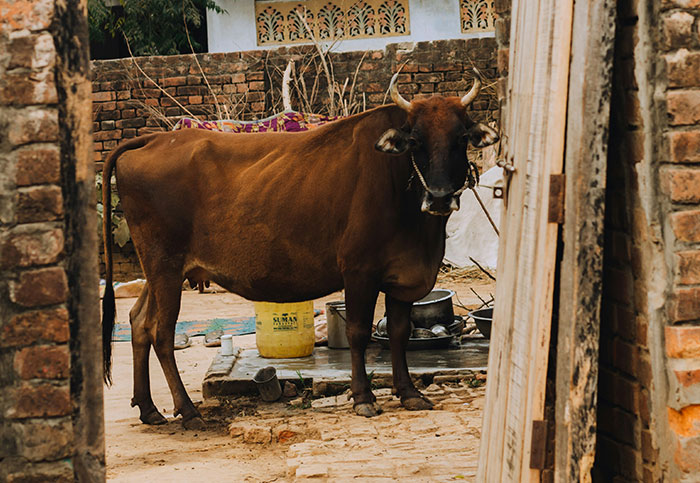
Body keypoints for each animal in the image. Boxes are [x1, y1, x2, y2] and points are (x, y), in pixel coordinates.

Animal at [101, 70, 499, 429]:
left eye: (462, 138)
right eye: (415, 141)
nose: (440, 197)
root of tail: (152, 140)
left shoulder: (403, 276)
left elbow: (399, 333)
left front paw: (409, 392)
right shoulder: (359, 271)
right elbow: (359, 332)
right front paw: (364, 397)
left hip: (161, 273)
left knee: (138, 322)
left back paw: (150, 409)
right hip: (164, 267)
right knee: (161, 333)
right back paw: (186, 410)